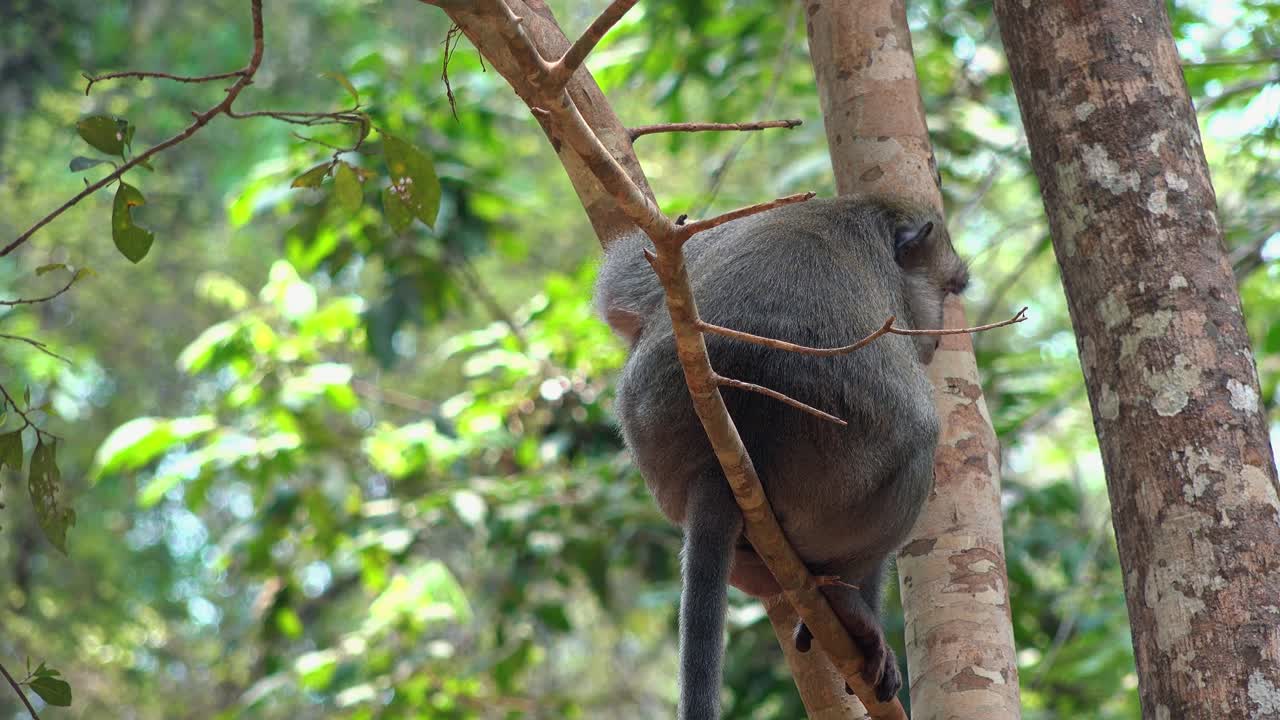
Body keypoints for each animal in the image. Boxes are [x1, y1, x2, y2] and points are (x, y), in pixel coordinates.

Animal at [594, 195, 969, 719]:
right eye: (948, 288)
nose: (936, 337)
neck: (862, 213)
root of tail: (727, 449)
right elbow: (916, 424)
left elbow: (623, 290)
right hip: (834, 487)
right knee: (918, 444)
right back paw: (848, 607)